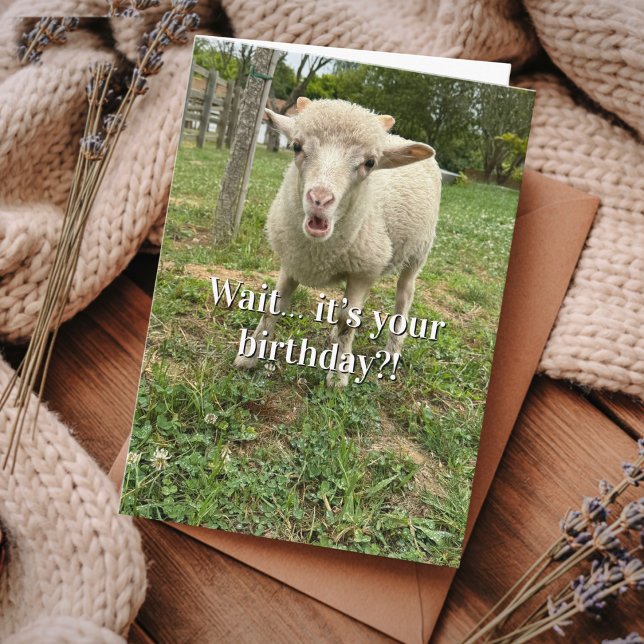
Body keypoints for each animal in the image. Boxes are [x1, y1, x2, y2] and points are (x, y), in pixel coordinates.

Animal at [234, 97, 442, 386]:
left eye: (370, 162)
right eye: (296, 146)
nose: (319, 200)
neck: (318, 251)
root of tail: (398, 138)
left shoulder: (362, 272)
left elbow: (347, 320)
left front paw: (338, 376)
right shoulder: (293, 259)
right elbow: (272, 308)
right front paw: (249, 356)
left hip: (416, 252)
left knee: (404, 295)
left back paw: (392, 350)